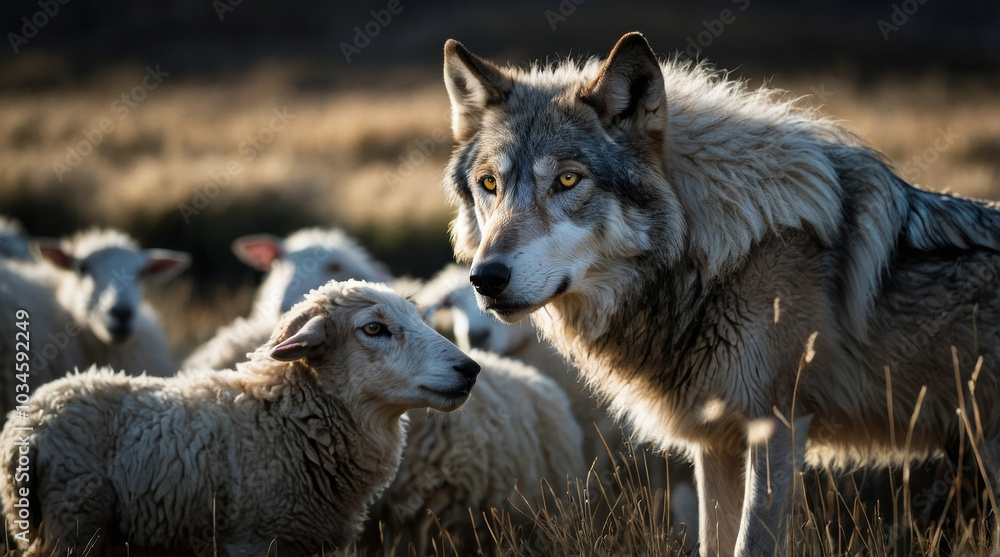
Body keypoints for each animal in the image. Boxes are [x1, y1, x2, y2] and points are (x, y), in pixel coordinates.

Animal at [0, 279, 481, 557]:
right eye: (374, 328)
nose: (470, 368)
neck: (285, 421)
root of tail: (32, 418)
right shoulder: (251, 540)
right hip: (74, 523)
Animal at [440, 32, 1000, 556]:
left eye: (568, 180)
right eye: (489, 184)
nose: (486, 278)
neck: (718, 252)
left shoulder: (777, 428)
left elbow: (751, 542)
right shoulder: (715, 441)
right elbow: (715, 540)